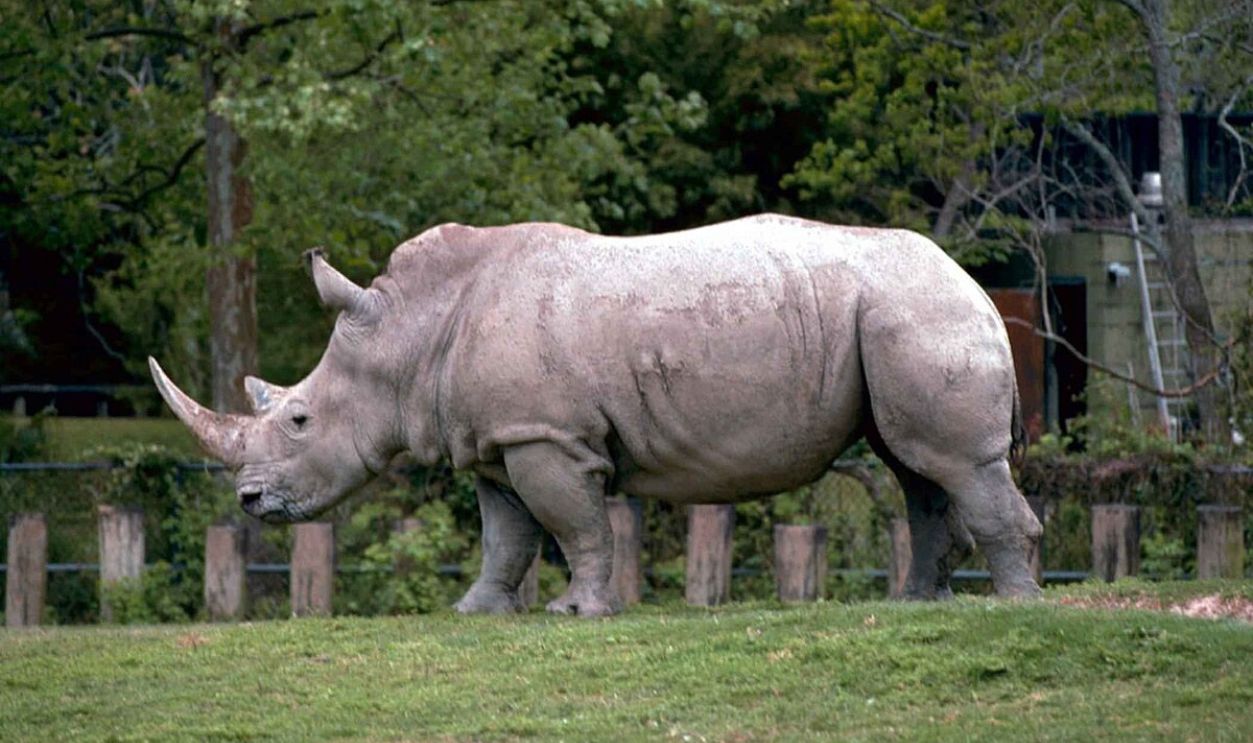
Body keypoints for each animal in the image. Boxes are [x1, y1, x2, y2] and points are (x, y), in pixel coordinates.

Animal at [150, 214, 1042, 616]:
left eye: (299, 420)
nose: (248, 501)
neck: (410, 331)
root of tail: (973, 281)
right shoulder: (496, 439)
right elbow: (505, 535)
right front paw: (475, 612)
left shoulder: (548, 436)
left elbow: (573, 523)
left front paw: (575, 612)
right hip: (895, 312)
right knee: (913, 467)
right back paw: (916, 602)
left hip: (917, 310)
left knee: (950, 463)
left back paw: (1014, 603)